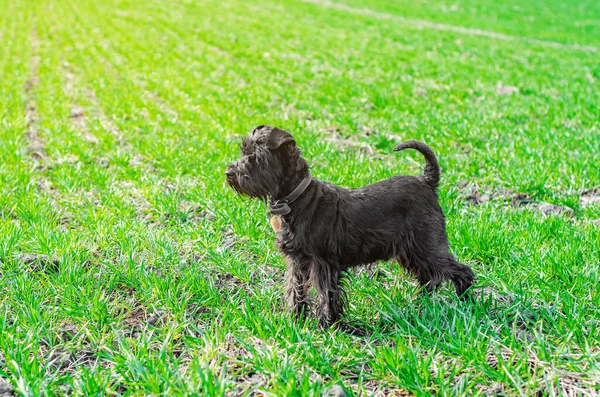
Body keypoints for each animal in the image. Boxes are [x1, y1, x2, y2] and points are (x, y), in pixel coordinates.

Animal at [225, 124, 474, 328]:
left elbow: (325, 295)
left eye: (258, 156)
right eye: (244, 151)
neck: (298, 199)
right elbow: (295, 289)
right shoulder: (298, 261)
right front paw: (294, 320)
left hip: (428, 245)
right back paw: (420, 304)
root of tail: (427, 182)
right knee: (428, 277)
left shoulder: (323, 264)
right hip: (412, 251)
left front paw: (326, 326)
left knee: (460, 271)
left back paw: (466, 303)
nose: (229, 173)